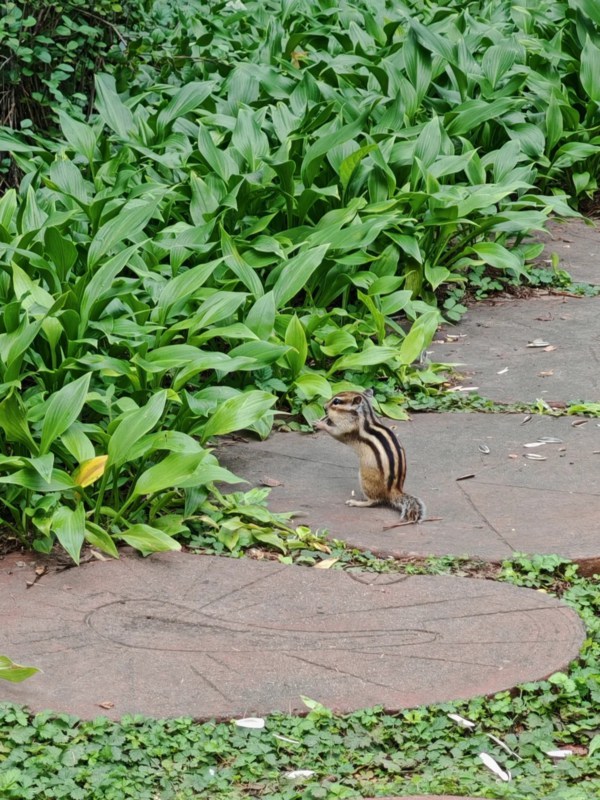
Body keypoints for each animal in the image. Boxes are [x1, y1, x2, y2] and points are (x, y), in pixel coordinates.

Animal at [313, 388, 426, 523]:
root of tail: (394, 490)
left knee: (374, 501)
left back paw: (356, 502)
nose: (324, 406)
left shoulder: (347, 428)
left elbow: (335, 433)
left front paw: (320, 424)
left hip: (365, 478)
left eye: (336, 401)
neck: (365, 416)